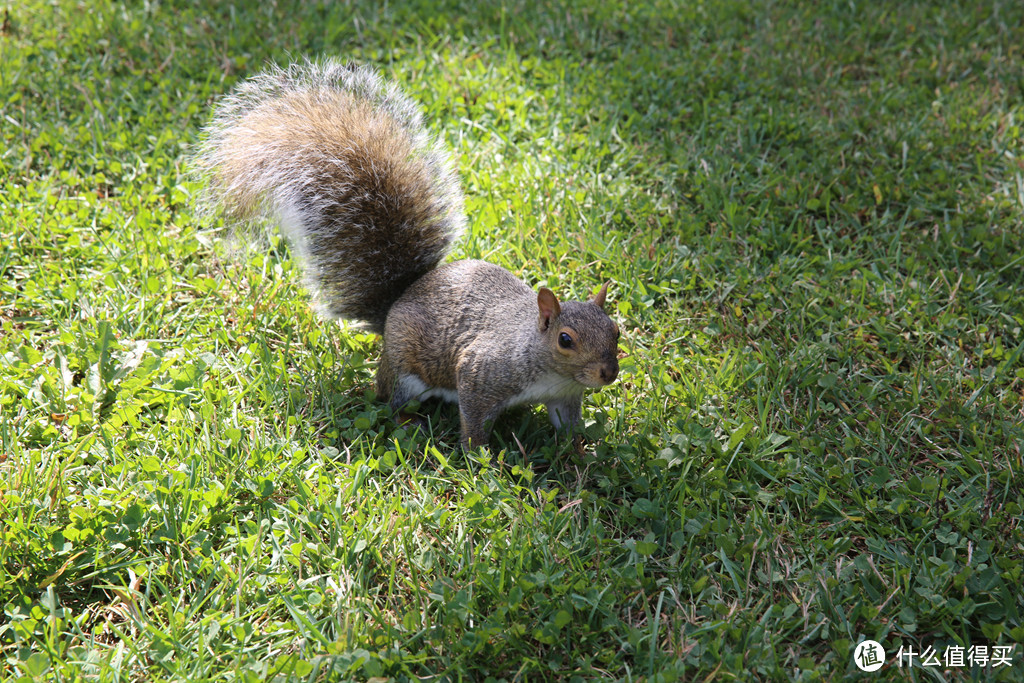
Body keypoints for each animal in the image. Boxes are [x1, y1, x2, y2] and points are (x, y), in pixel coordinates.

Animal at [195, 60, 618, 448]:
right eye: (565, 340)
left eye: (616, 330)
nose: (609, 374)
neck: (550, 370)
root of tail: (395, 306)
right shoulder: (481, 373)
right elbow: (474, 423)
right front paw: (480, 462)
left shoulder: (565, 397)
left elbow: (569, 430)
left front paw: (581, 454)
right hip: (405, 371)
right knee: (389, 400)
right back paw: (407, 424)